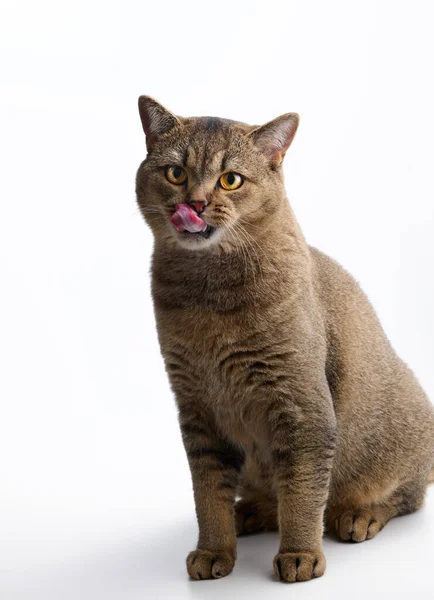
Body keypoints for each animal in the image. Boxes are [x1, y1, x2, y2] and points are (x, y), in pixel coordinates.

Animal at [136, 97, 434, 580]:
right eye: (175, 173)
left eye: (231, 179)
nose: (195, 203)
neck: (208, 295)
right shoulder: (198, 409)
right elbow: (208, 494)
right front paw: (214, 551)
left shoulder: (300, 404)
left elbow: (302, 491)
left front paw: (300, 555)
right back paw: (249, 512)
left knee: (407, 495)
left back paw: (359, 515)